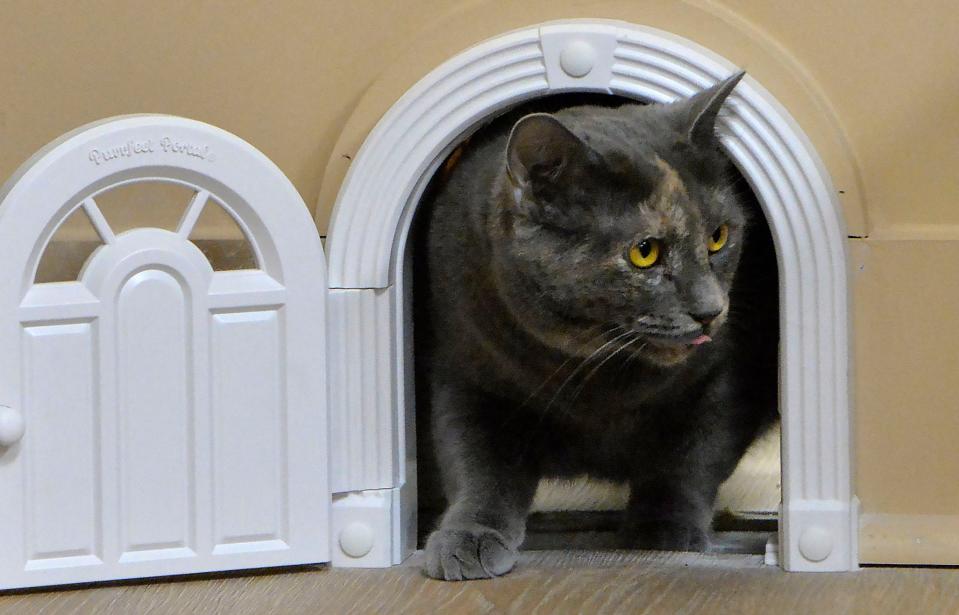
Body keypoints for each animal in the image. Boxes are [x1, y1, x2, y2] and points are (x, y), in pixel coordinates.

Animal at [420, 73, 780, 584]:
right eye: (644, 252)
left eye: (719, 237)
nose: (710, 309)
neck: (595, 376)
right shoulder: (466, 375)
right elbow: (476, 465)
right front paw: (468, 537)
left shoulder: (725, 377)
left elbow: (692, 458)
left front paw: (661, 530)